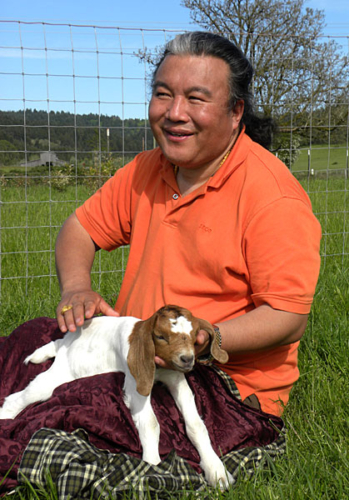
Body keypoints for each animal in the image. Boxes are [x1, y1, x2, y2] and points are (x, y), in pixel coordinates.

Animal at [0, 304, 234, 488]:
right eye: (160, 336)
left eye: (195, 337)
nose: (187, 359)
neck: (158, 370)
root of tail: (73, 335)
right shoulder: (135, 382)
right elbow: (150, 423)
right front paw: (154, 467)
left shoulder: (176, 378)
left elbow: (196, 424)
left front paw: (216, 470)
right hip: (62, 372)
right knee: (27, 394)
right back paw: (6, 415)